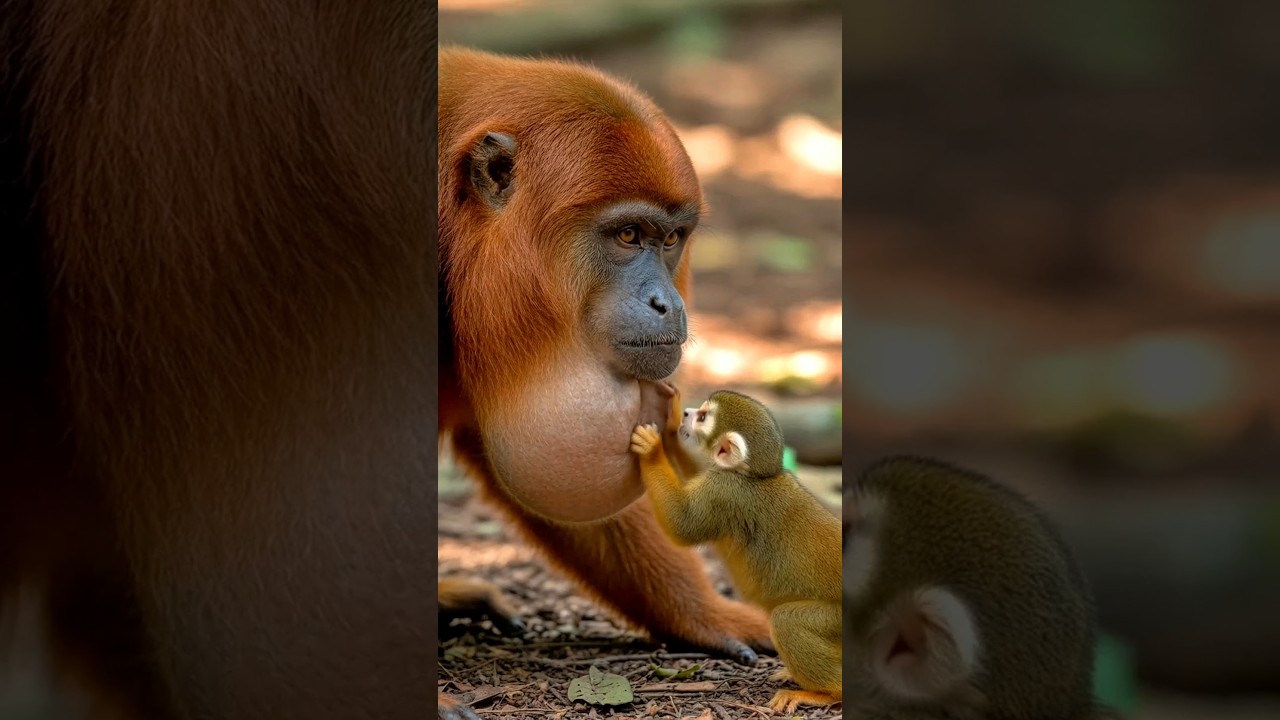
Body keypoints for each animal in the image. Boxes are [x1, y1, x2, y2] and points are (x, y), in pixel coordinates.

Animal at [629, 389, 842, 714]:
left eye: (704, 417)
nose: (689, 414)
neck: (750, 475)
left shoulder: (726, 491)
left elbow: (682, 525)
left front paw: (653, 450)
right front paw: (672, 422)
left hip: (839, 620)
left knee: (787, 621)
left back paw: (826, 692)